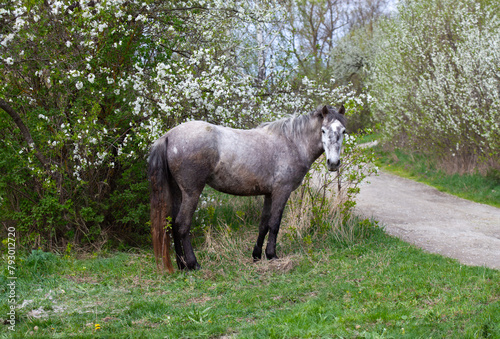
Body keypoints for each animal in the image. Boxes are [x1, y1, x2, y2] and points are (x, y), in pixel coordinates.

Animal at [146, 105, 346, 272]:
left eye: (343, 131)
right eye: (323, 130)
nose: (333, 163)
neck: (292, 142)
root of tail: (169, 136)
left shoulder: (269, 194)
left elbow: (264, 224)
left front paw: (257, 255)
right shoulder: (282, 191)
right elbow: (275, 224)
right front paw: (272, 255)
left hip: (177, 192)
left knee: (172, 223)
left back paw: (181, 265)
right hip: (191, 192)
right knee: (182, 224)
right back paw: (193, 264)